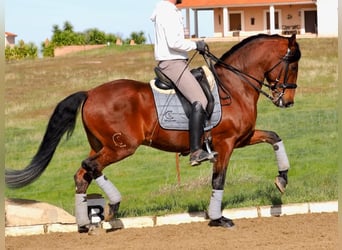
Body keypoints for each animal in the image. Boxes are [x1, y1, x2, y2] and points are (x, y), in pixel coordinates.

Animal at [4, 33, 300, 232]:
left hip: (101, 145)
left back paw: (85, 223)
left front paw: (282, 179)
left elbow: (274, 137)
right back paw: (112, 207)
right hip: (121, 146)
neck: (234, 85)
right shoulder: (225, 144)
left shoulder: (242, 138)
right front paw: (218, 218)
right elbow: (218, 180)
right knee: (90, 166)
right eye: (293, 64)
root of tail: (89, 93)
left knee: (82, 174)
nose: (287, 101)